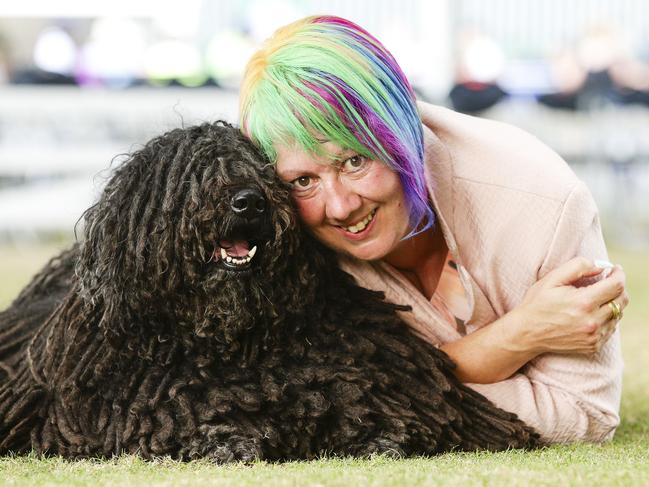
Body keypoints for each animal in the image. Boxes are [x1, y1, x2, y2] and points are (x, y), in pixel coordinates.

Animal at [0, 122, 536, 462]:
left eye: (261, 171)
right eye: (196, 175)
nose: (249, 202)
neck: (234, 341)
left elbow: (374, 402)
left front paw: (384, 436)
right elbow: (170, 420)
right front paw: (224, 441)